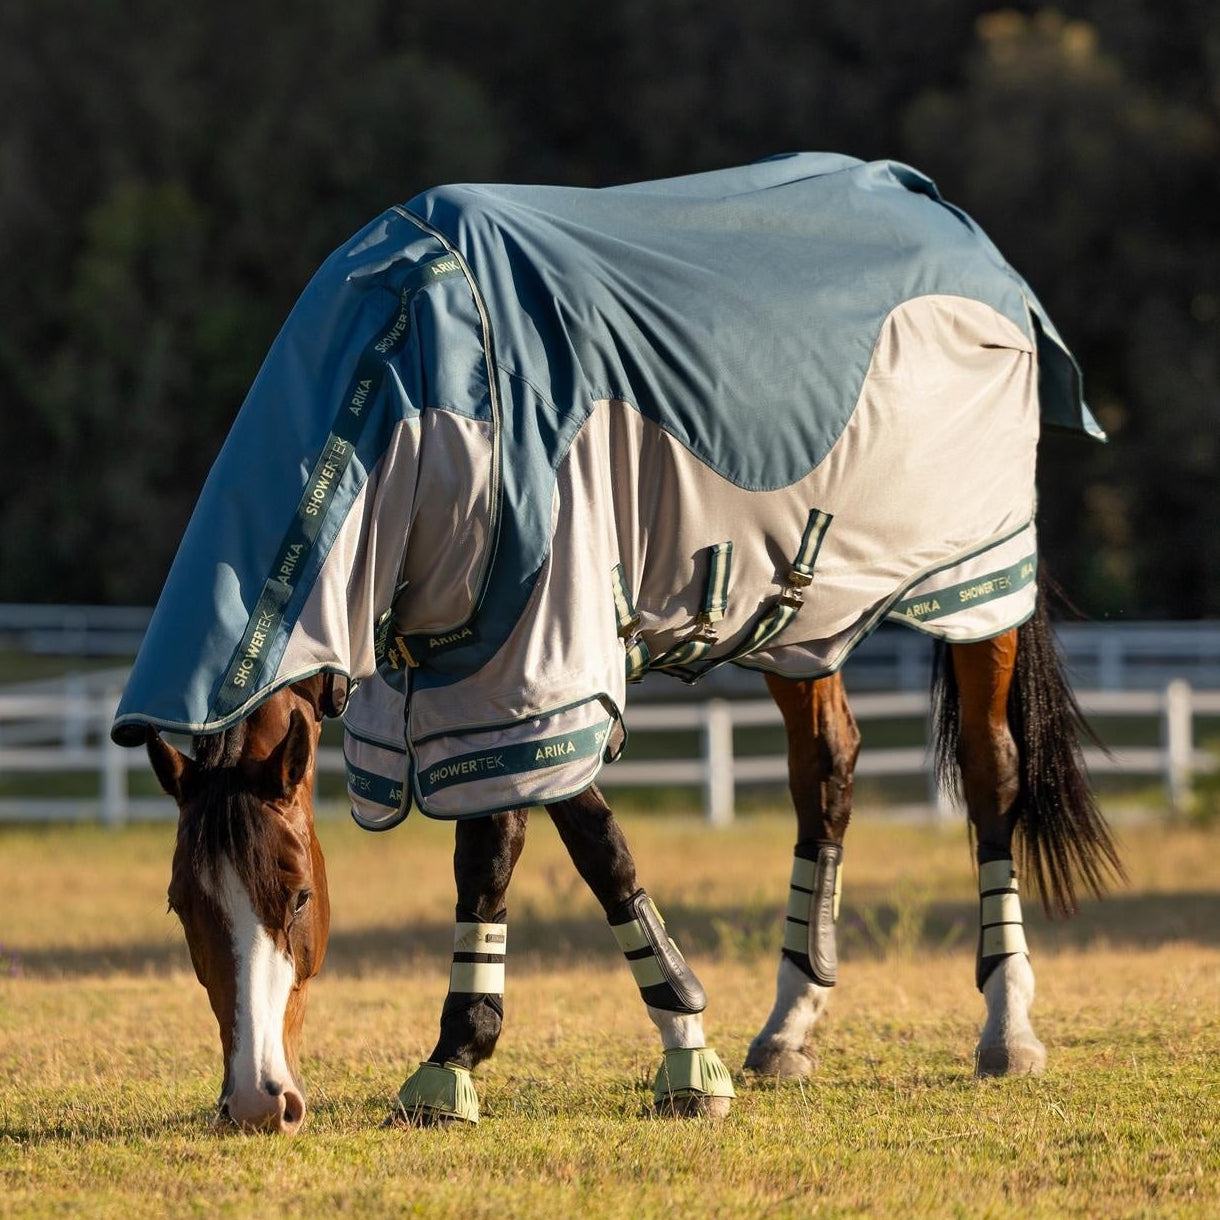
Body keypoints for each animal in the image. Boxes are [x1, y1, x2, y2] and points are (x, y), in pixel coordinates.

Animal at [122, 154, 1123, 1128]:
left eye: (295, 891)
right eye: (181, 905)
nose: (259, 1102)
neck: (412, 392)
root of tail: (944, 214)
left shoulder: (541, 667)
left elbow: (573, 849)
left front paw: (666, 1056)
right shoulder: (449, 680)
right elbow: (515, 850)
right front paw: (465, 1059)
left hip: (978, 583)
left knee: (992, 772)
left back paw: (1008, 1026)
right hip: (803, 620)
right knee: (826, 774)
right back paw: (790, 1025)